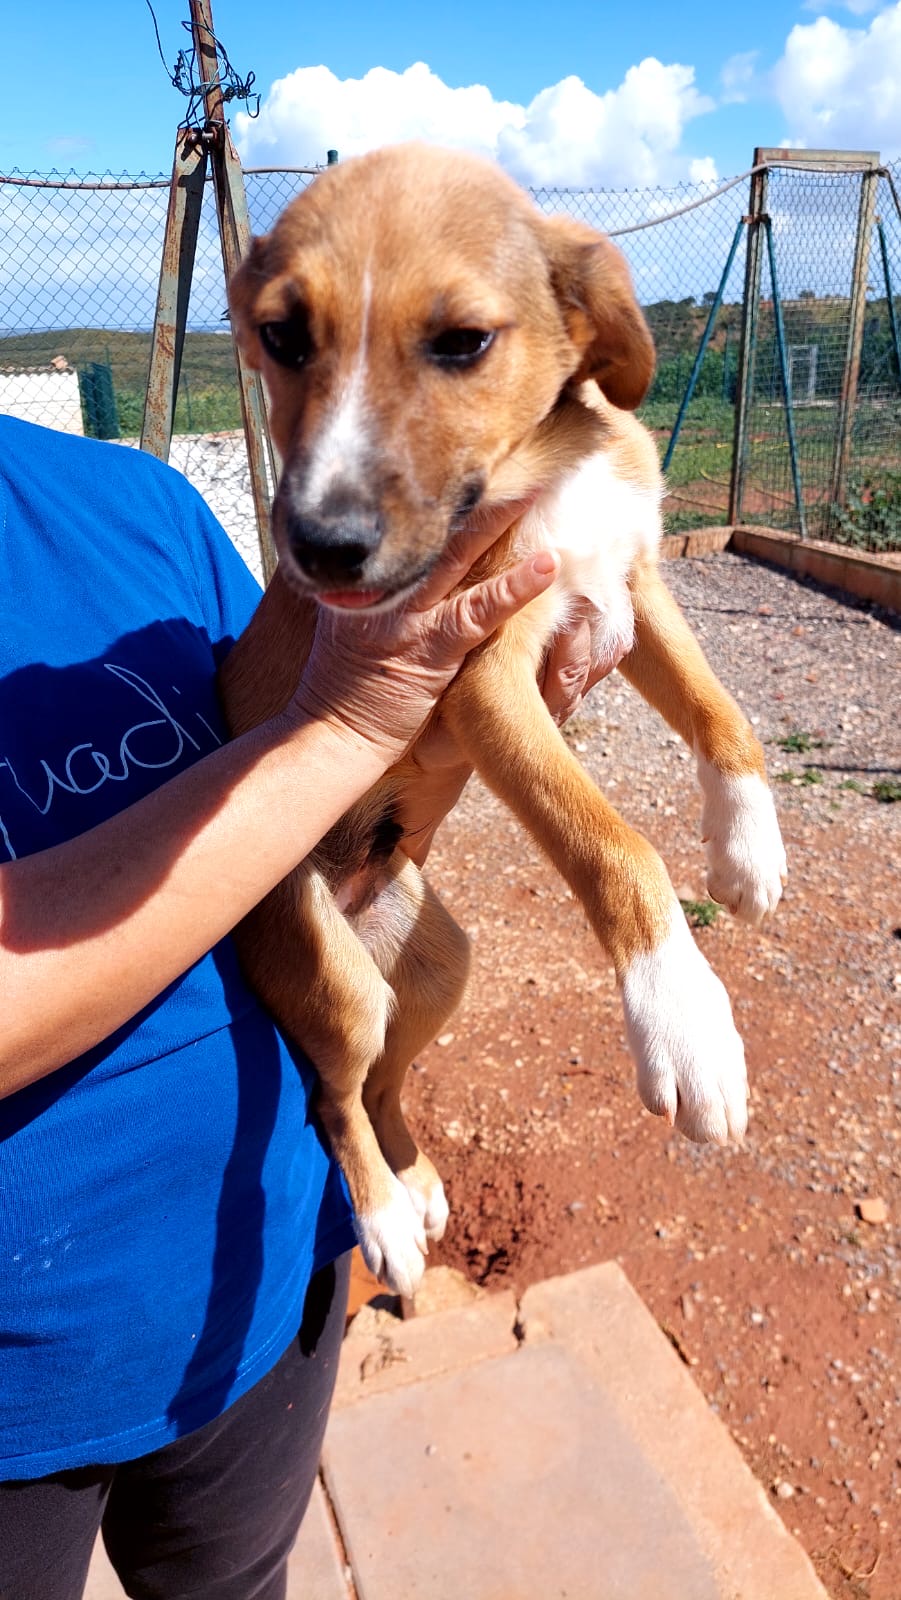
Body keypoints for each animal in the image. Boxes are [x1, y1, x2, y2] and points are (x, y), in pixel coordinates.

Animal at [223, 143, 787, 1297]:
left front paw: (746, 848)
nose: (317, 550)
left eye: (462, 342)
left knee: (386, 1078)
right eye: (282, 337)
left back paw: (417, 1177)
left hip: (443, 965)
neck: (550, 464)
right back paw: (386, 1217)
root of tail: (357, 904)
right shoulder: (486, 678)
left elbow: (724, 715)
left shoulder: (633, 590)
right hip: (331, 977)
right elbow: (612, 844)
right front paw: (683, 1015)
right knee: (334, 1091)